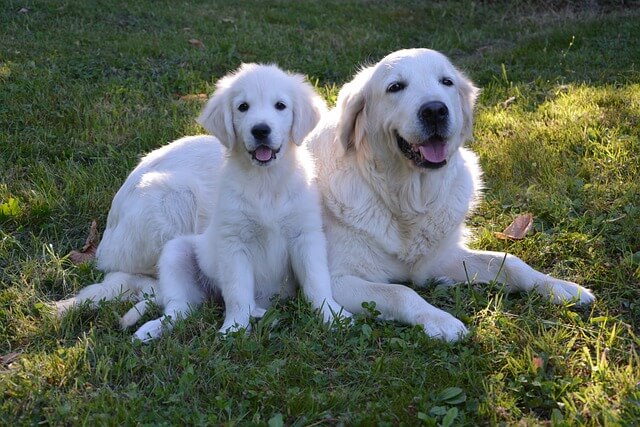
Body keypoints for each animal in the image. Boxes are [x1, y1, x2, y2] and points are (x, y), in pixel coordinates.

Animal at [55, 65, 348, 338]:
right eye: (243, 107)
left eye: (281, 106)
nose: (261, 130)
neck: (266, 182)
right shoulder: (232, 242)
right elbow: (237, 291)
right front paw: (234, 329)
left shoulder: (306, 235)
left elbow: (316, 282)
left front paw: (332, 315)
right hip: (176, 217)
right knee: (174, 304)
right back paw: (149, 330)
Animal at [306, 47, 596, 342]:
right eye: (395, 87)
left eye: (446, 82)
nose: (435, 111)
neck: (406, 199)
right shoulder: (338, 279)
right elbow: (400, 291)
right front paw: (440, 320)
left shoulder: (438, 259)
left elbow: (509, 261)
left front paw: (558, 286)